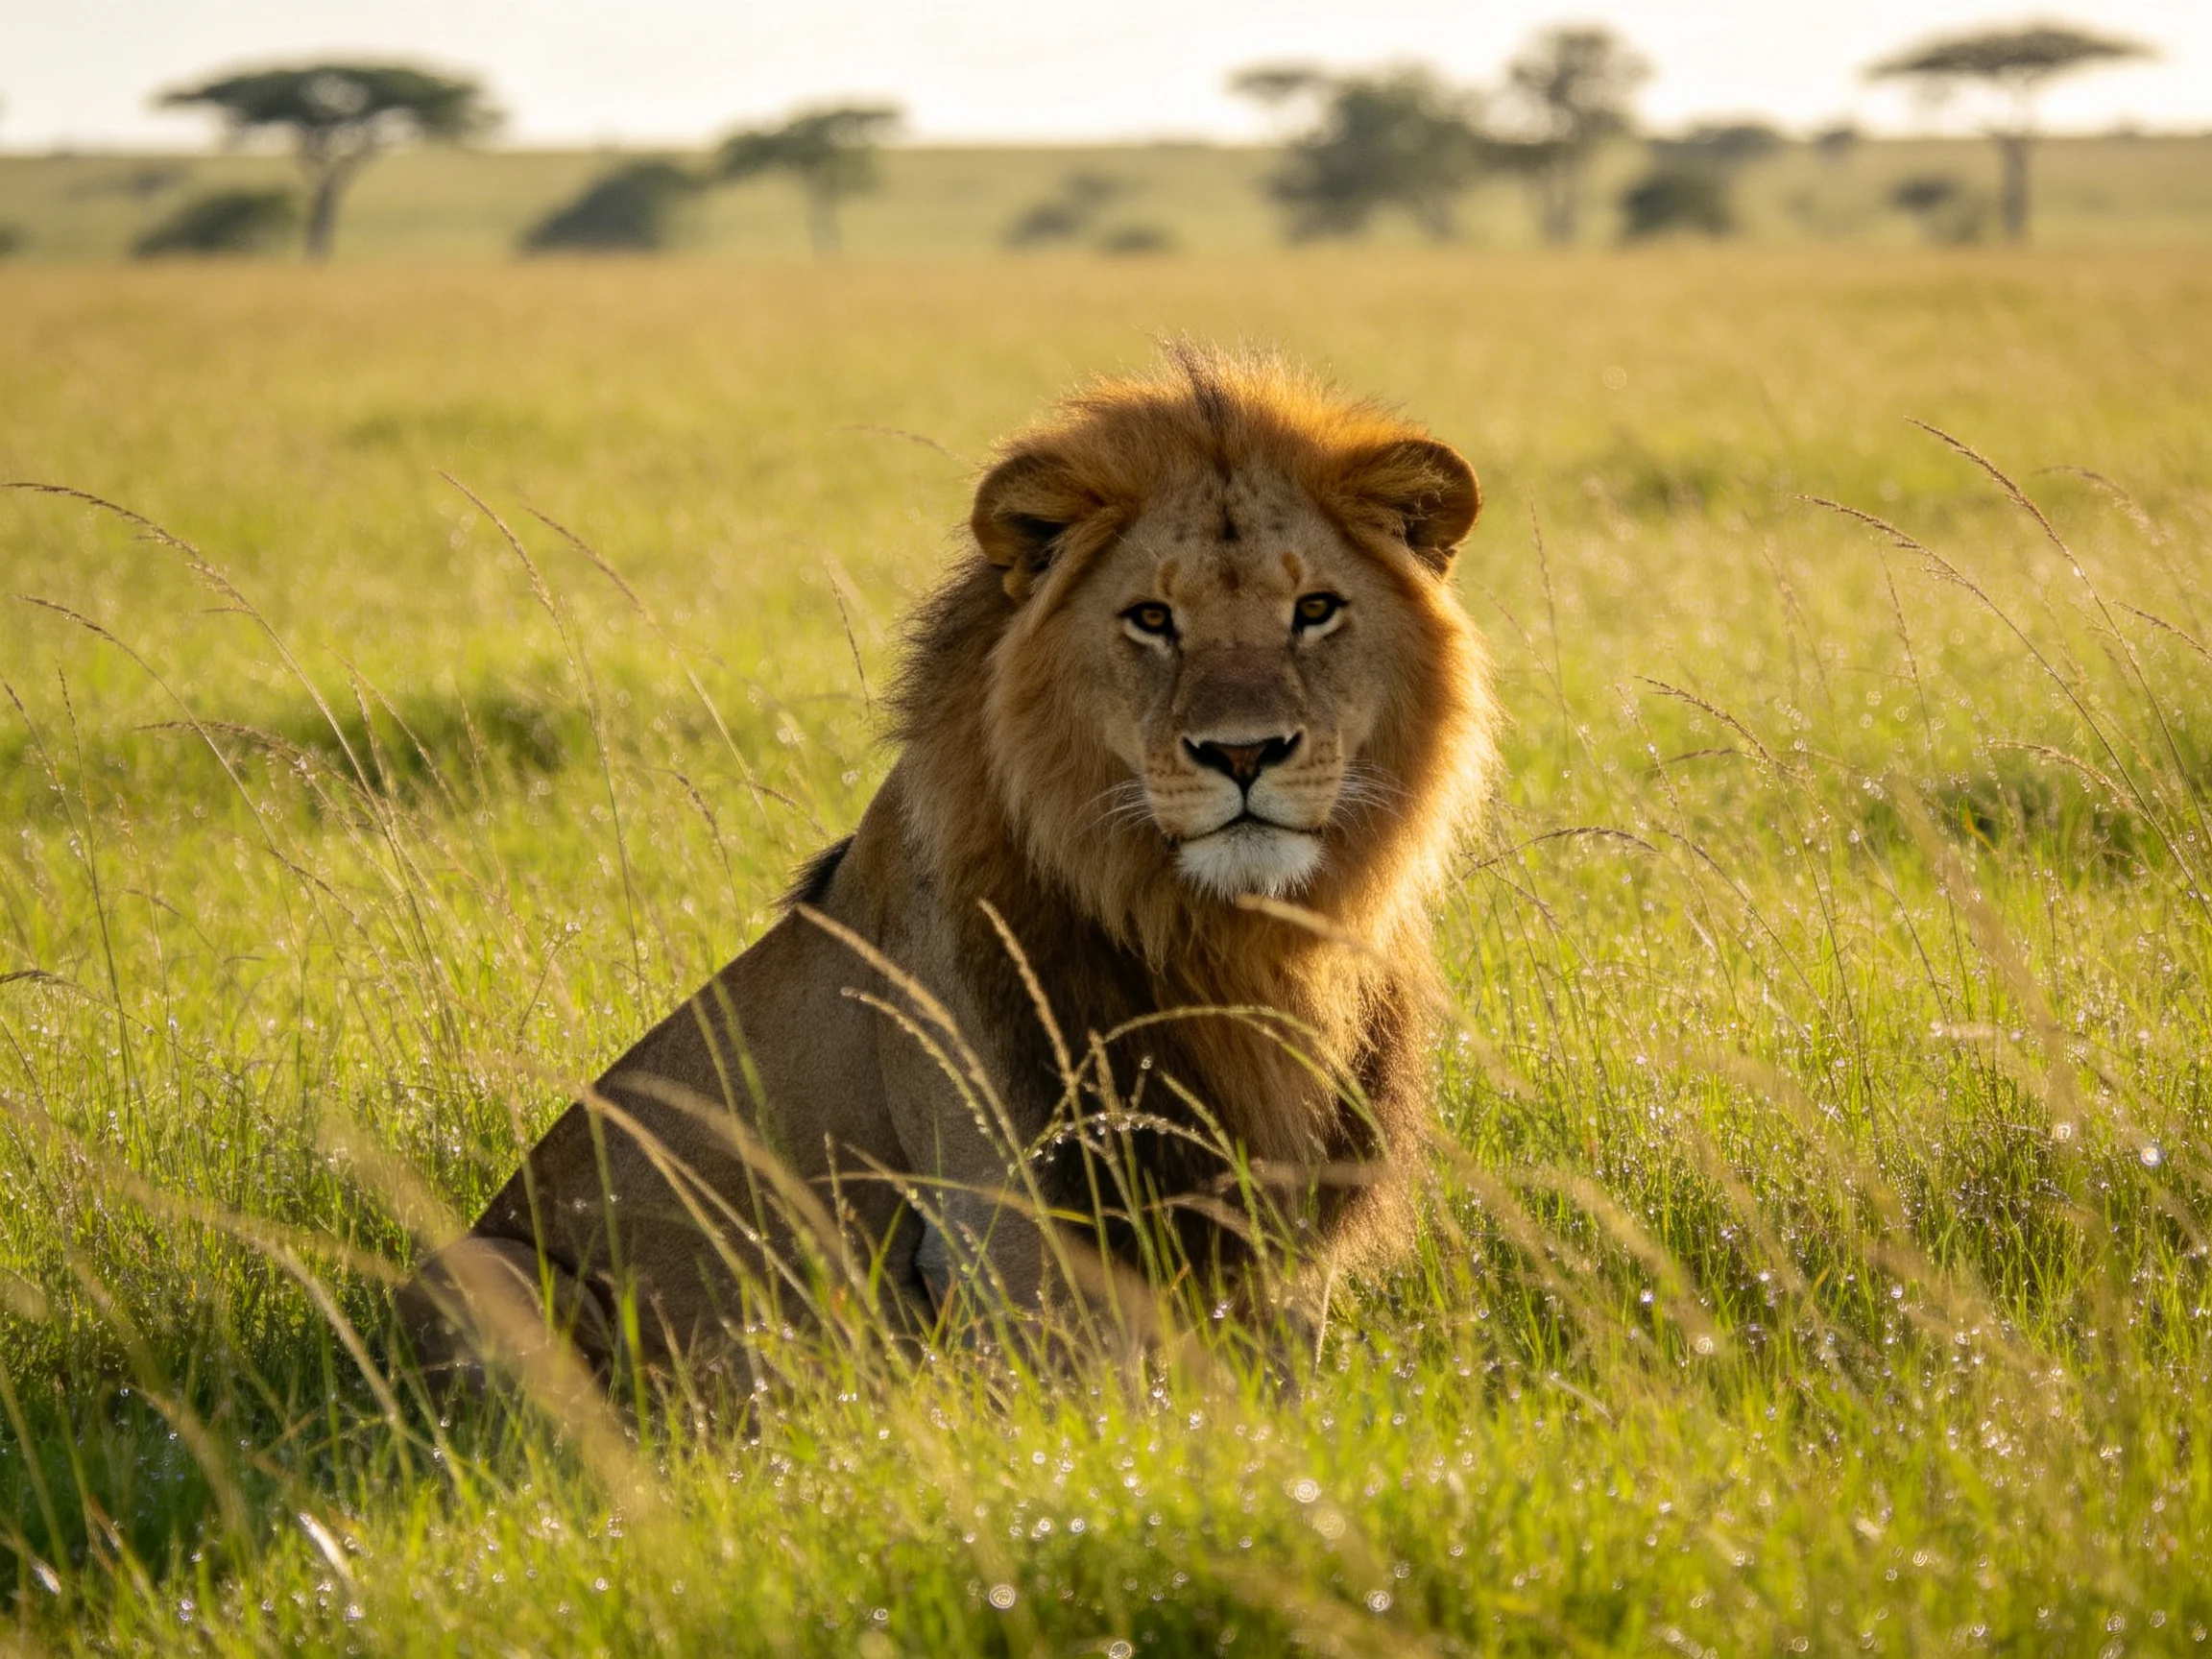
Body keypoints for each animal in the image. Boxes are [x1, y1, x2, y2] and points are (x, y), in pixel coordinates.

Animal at [399, 344, 1498, 1377]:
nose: (1242, 752)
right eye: (1152, 619)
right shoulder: (1004, 1243)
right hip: (479, 1272)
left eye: (1314, 610)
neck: (1227, 939)